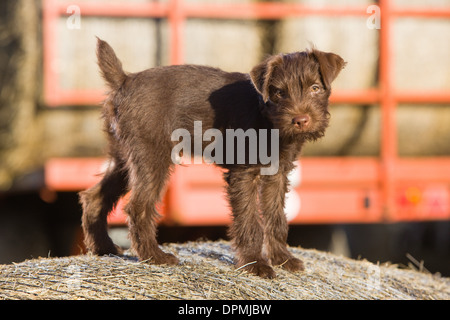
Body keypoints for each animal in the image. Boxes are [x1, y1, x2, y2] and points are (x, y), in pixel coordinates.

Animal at [80, 37, 344, 278]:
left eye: (315, 88)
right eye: (279, 93)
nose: (301, 120)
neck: (267, 117)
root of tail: (124, 79)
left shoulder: (277, 174)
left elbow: (275, 217)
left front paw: (282, 259)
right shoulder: (244, 173)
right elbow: (249, 220)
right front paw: (255, 265)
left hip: (124, 158)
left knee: (95, 197)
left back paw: (104, 248)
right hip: (152, 157)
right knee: (137, 206)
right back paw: (154, 256)